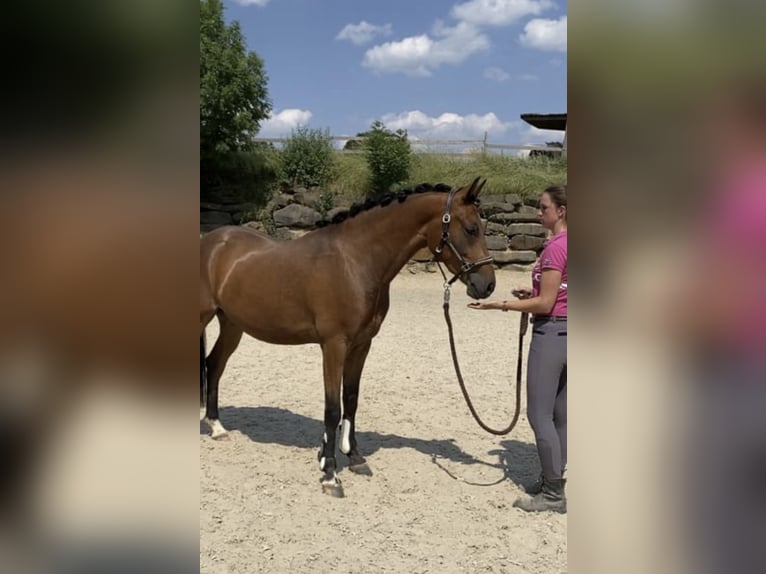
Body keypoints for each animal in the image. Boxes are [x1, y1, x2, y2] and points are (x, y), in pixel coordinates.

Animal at [200, 178, 498, 498]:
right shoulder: (334, 345)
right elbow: (333, 408)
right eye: (471, 228)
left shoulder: (362, 344)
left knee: (214, 364)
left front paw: (353, 457)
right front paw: (330, 474)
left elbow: (351, 399)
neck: (355, 260)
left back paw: (217, 428)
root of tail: (211, 241)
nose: (487, 285)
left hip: (232, 324)